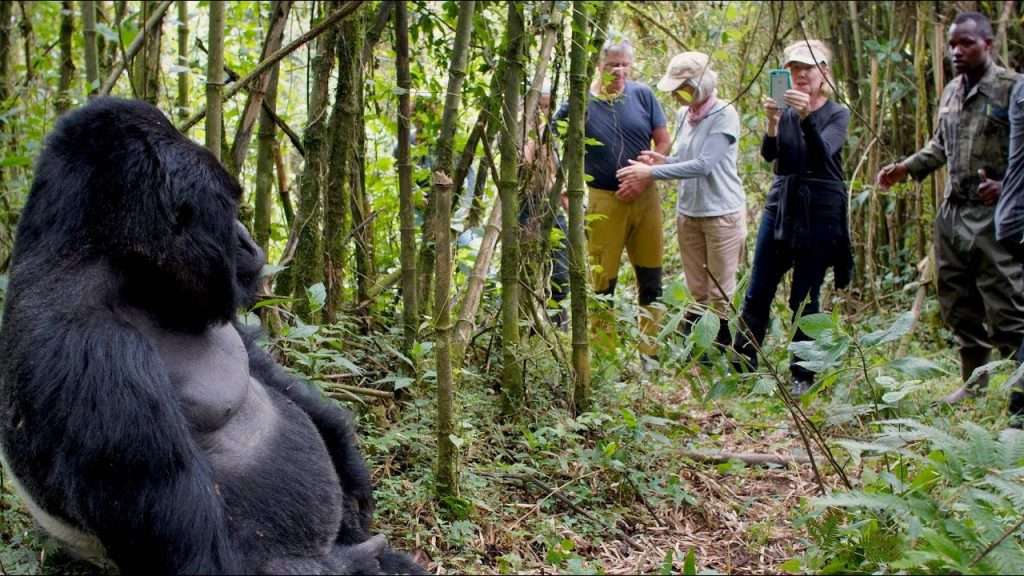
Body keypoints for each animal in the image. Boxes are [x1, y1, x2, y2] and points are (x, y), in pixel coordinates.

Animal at [0, 98, 423, 573]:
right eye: (227, 210)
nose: (249, 242)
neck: (107, 265)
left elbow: (268, 370)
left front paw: (346, 457)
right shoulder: (96, 355)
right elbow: (200, 559)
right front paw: (355, 562)